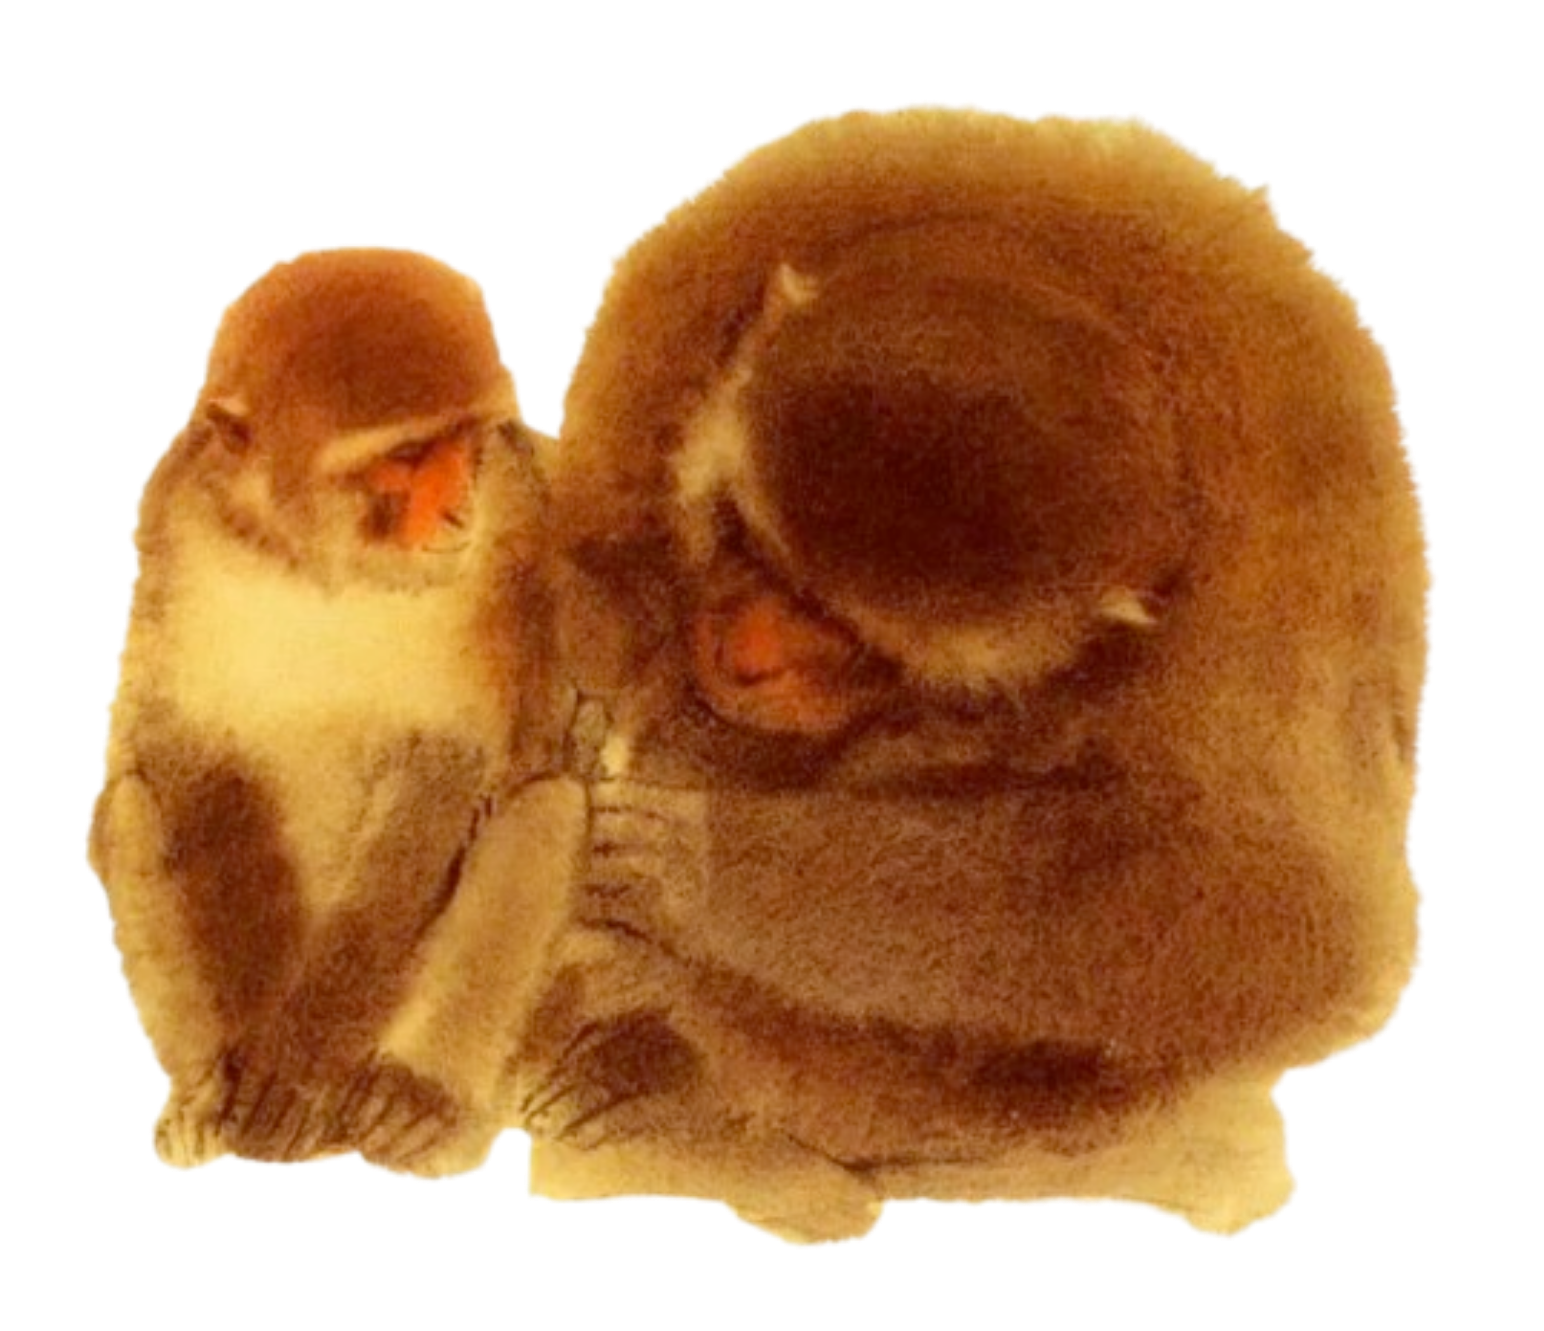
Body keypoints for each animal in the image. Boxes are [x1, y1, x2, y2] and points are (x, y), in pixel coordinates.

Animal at [85, 244, 565, 1173]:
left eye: (465, 444)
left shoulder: (512, 527)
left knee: (544, 805)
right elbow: (175, 746)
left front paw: (296, 1057)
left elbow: (455, 759)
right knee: (125, 806)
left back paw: (414, 1101)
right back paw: (201, 1095)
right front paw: (249, 1062)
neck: (318, 567)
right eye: (408, 455)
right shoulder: (174, 524)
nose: (459, 506)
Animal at [519, 106, 1433, 1238]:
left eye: (861, 644)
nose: (742, 656)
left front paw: (704, 871)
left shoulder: (1285, 585)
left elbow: (1271, 905)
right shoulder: (701, 272)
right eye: (744, 544)